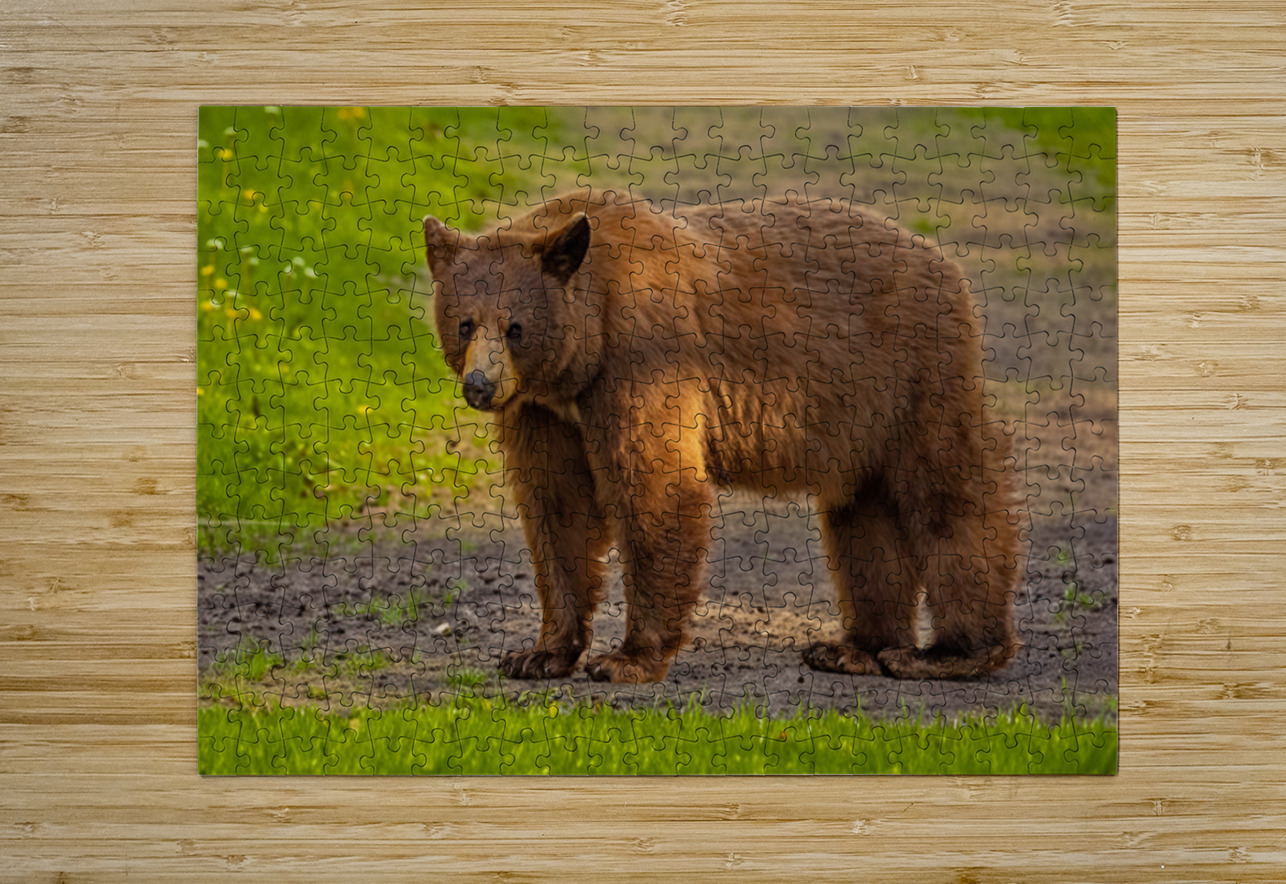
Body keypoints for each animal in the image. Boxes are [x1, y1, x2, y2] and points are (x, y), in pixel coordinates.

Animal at [423, 191, 1020, 684]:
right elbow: (558, 508)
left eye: (515, 327)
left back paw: (951, 652)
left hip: (913, 375)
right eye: (465, 323)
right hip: (858, 421)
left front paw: (627, 659)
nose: (480, 385)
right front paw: (539, 653)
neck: (582, 355)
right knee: (862, 517)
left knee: (949, 496)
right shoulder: (544, 411)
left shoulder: (645, 362)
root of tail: (944, 263)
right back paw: (854, 648)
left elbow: (654, 493)